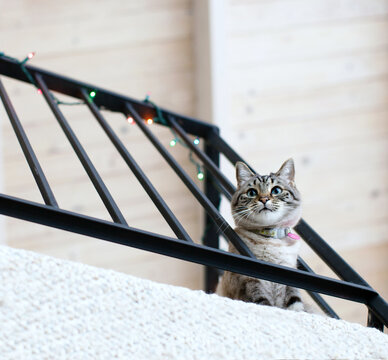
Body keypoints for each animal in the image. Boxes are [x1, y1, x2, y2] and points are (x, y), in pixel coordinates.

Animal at [218, 159, 306, 310]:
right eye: (252, 192)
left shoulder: (291, 280)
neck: (271, 240)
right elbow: (263, 303)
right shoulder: (250, 281)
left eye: (276, 190)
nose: (264, 199)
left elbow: (295, 305)